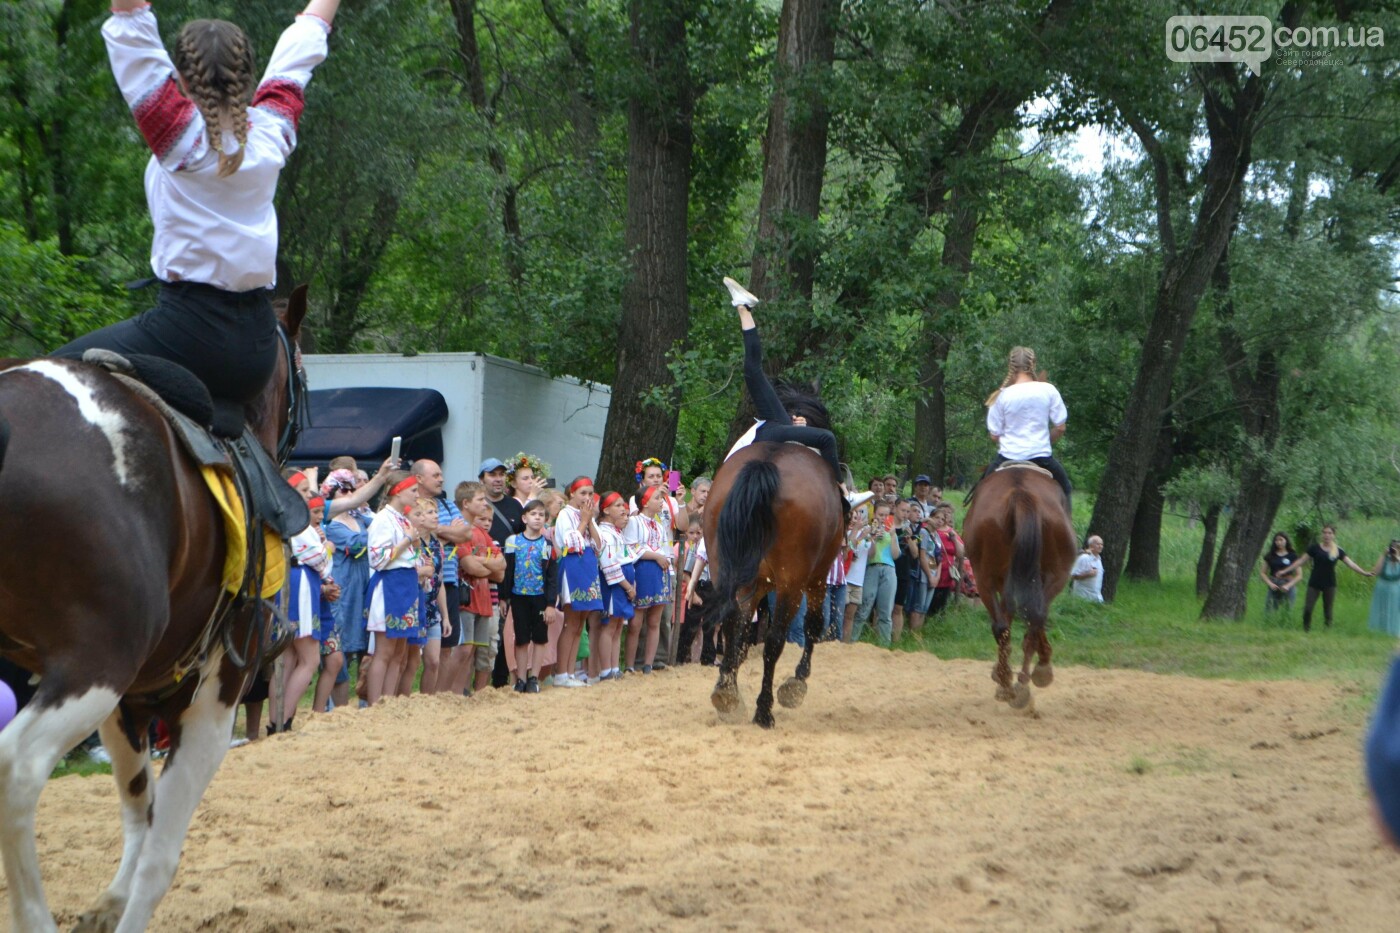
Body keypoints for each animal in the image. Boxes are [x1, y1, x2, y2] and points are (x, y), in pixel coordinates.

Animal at [0, 285, 309, 930]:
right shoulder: (215, 698)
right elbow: (159, 855)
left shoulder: (129, 704)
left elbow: (139, 817)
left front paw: (107, 905)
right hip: (94, 665)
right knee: (18, 768)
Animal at [705, 442, 845, 728]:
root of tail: (767, 461)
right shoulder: (816, 577)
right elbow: (813, 625)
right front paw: (797, 682)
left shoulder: (754, 585)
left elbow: (740, 636)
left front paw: (728, 681)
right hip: (792, 584)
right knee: (774, 640)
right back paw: (764, 710)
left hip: (725, 569)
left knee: (730, 622)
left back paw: (726, 694)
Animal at [968, 462, 1075, 708]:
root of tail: (1020, 494)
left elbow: (1009, 617)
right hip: (1056, 575)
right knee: (1034, 618)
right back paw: (1025, 681)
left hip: (986, 577)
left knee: (1008, 624)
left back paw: (1011, 684)